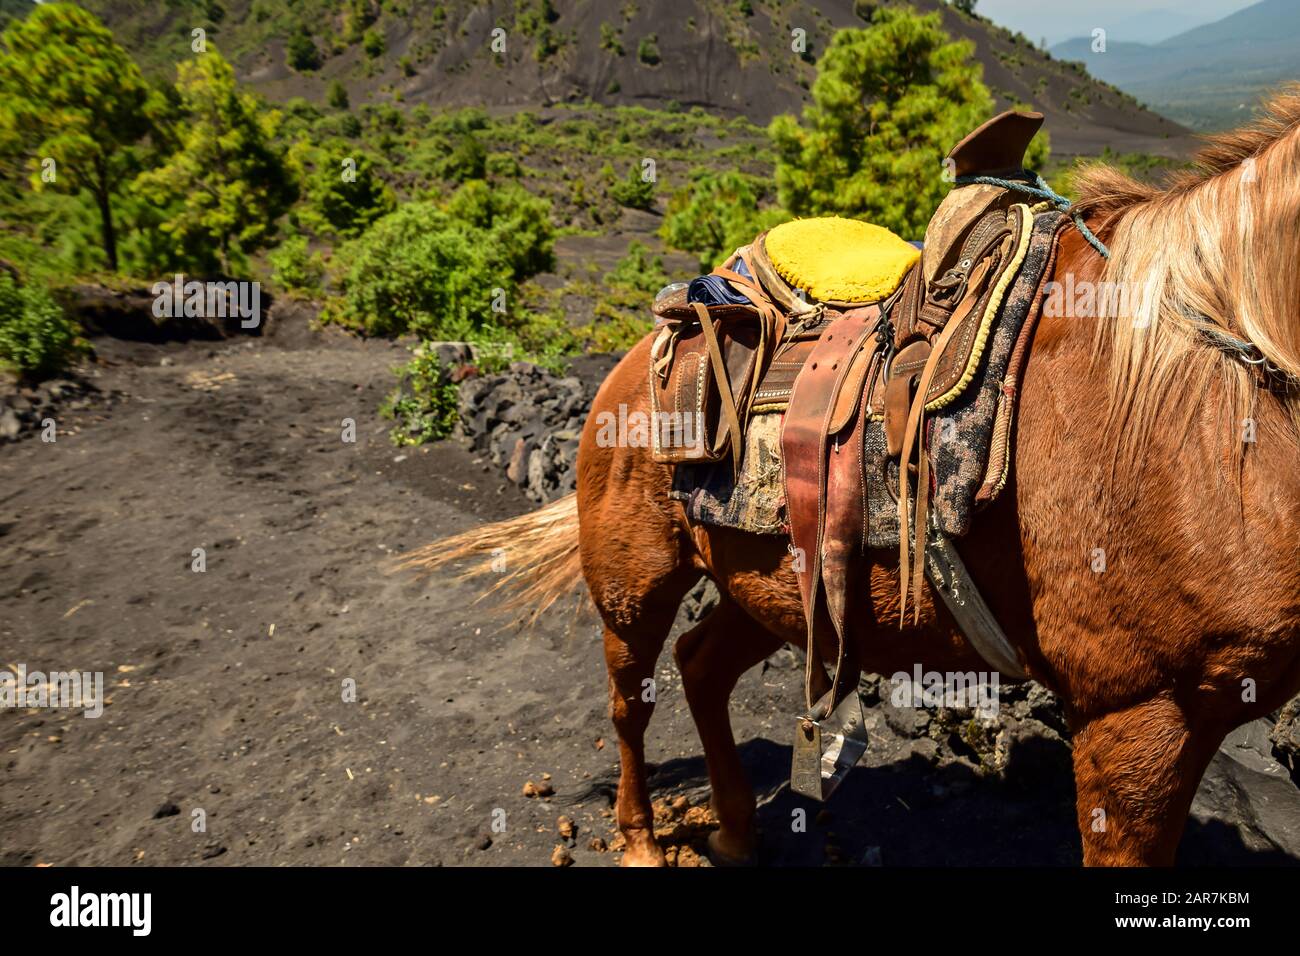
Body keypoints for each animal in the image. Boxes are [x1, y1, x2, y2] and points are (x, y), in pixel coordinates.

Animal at [405, 95, 1300, 868]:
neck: (1203, 398)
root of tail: (644, 347)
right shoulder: (1138, 714)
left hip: (768, 584)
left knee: (701, 667)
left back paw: (736, 832)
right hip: (635, 582)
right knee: (632, 700)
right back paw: (639, 842)